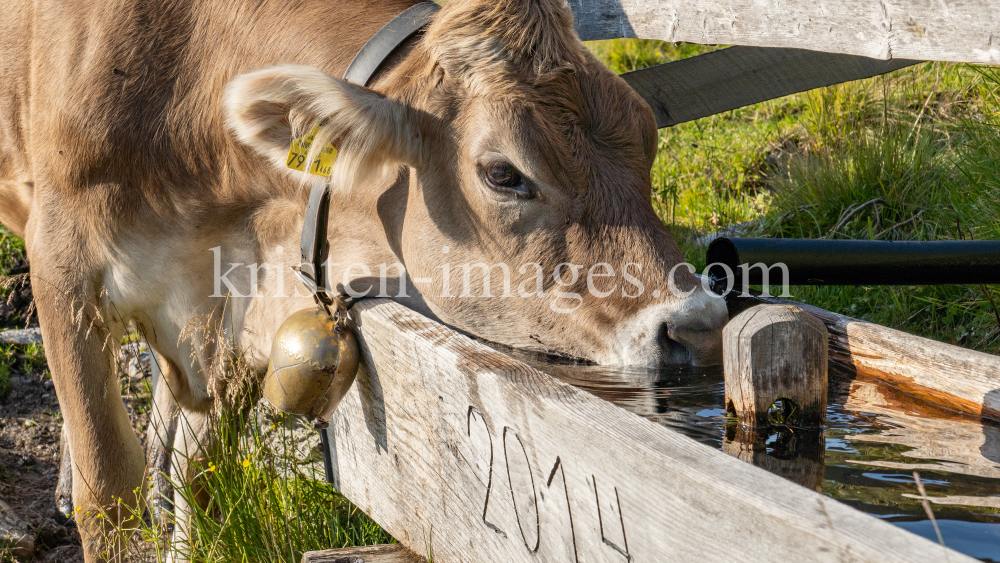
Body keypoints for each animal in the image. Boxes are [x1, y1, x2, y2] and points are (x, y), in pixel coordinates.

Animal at [0, 0, 724, 560]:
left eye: (648, 136)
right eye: (504, 173)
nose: (697, 325)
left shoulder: (239, 307)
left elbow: (198, 478)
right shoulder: (63, 268)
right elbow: (107, 490)